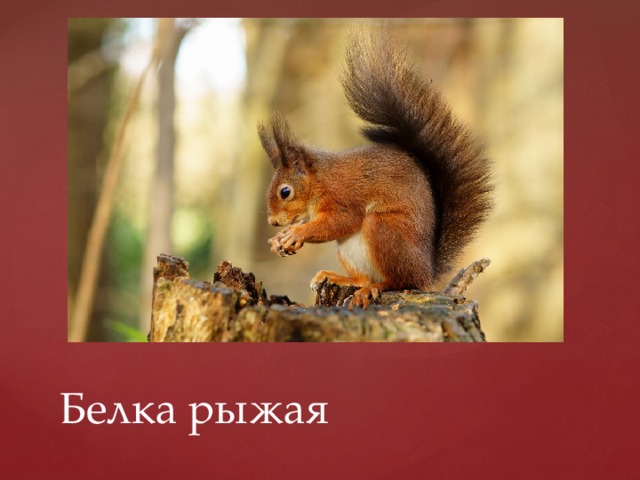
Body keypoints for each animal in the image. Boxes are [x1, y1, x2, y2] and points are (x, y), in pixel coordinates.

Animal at [258, 28, 493, 307]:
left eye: (285, 192)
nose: (273, 222)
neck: (319, 181)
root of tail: (427, 272)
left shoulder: (342, 196)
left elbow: (341, 221)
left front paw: (297, 233)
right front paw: (279, 240)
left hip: (383, 231)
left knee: (398, 280)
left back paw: (374, 287)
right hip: (349, 252)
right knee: (364, 277)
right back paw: (341, 278)